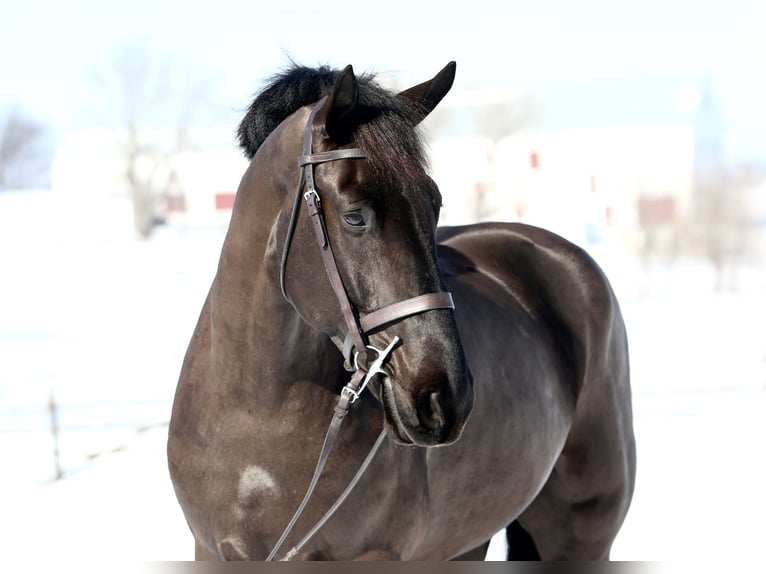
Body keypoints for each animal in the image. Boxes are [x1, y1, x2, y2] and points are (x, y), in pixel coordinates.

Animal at [167, 61, 636, 561]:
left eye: (435, 206)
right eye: (354, 216)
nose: (444, 397)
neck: (258, 416)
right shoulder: (211, 550)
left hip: (581, 535)